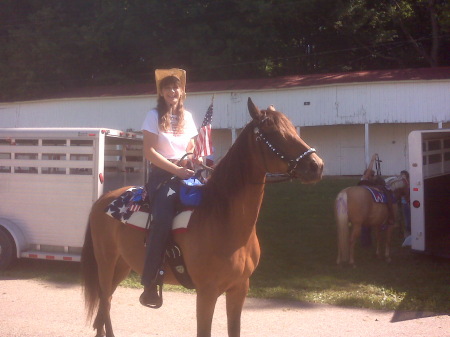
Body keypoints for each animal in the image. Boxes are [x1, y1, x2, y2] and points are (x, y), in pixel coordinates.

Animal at [81, 98, 324, 336]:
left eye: (293, 128)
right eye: (273, 132)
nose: (316, 166)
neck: (225, 221)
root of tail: (102, 200)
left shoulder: (239, 288)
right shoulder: (207, 292)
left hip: (122, 264)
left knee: (106, 302)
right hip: (106, 262)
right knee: (104, 300)